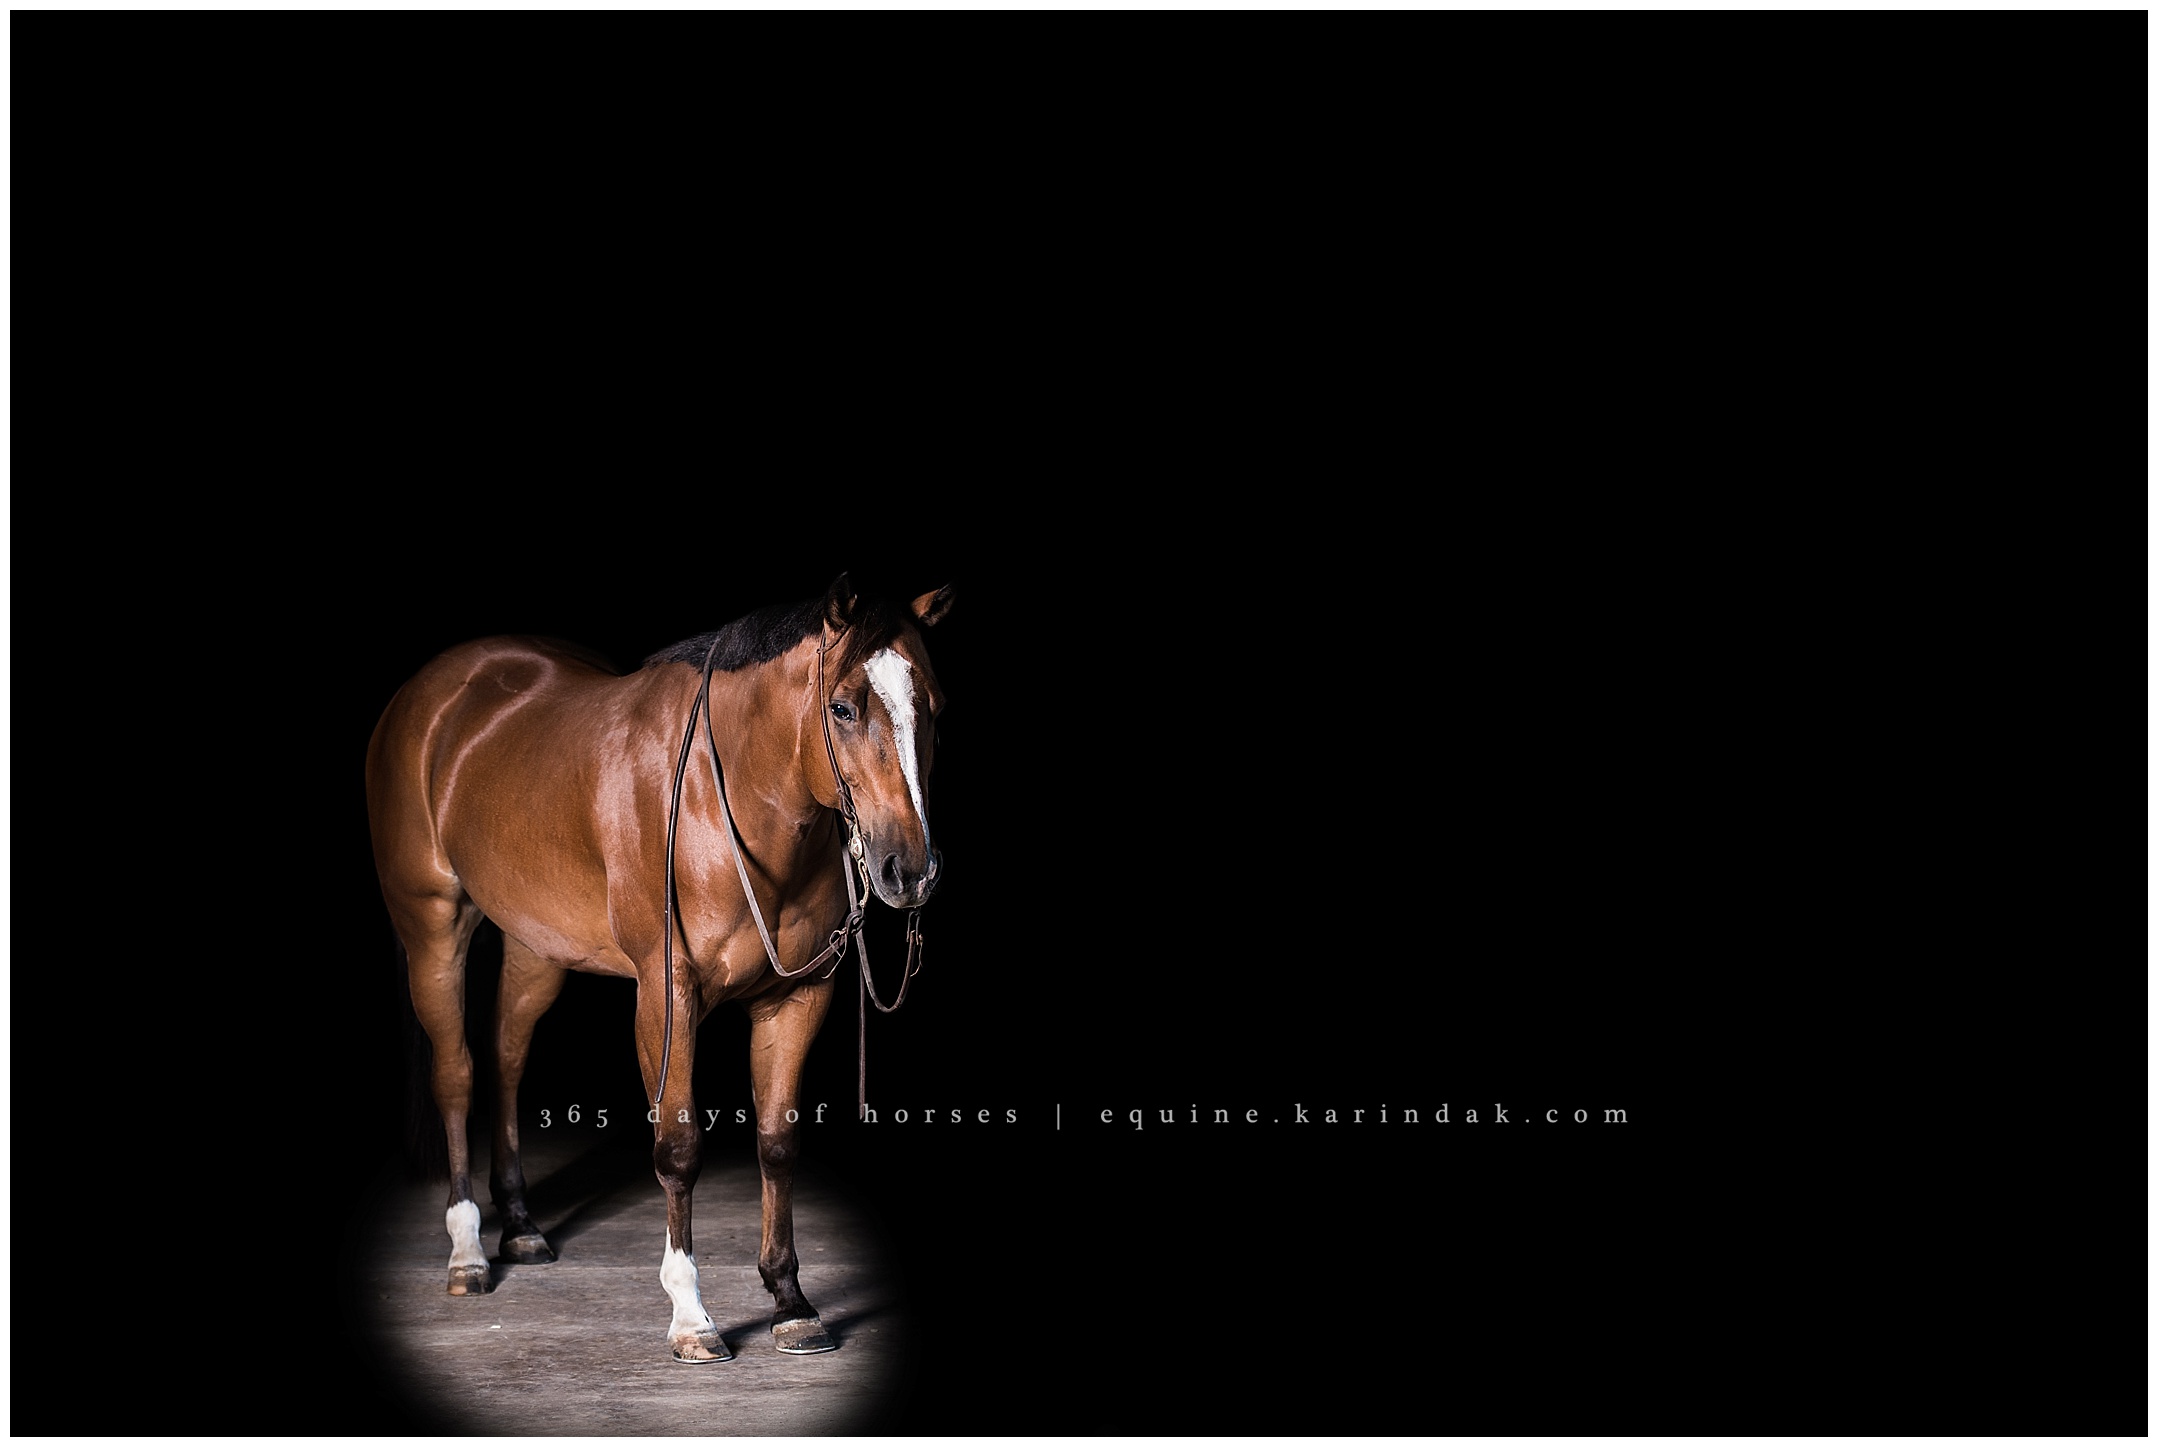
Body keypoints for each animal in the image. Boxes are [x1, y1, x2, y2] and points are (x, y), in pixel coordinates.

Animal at [365, 573, 953, 1363]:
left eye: (933, 707)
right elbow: (677, 1146)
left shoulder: (798, 997)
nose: (909, 871)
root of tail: (429, 694)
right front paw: (691, 1314)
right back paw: (467, 1250)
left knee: (506, 1058)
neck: (725, 795)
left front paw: (790, 1301)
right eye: (843, 706)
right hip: (433, 928)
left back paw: (519, 1223)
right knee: (456, 1073)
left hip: (536, 947)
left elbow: (778, 1143)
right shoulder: (666, 994)